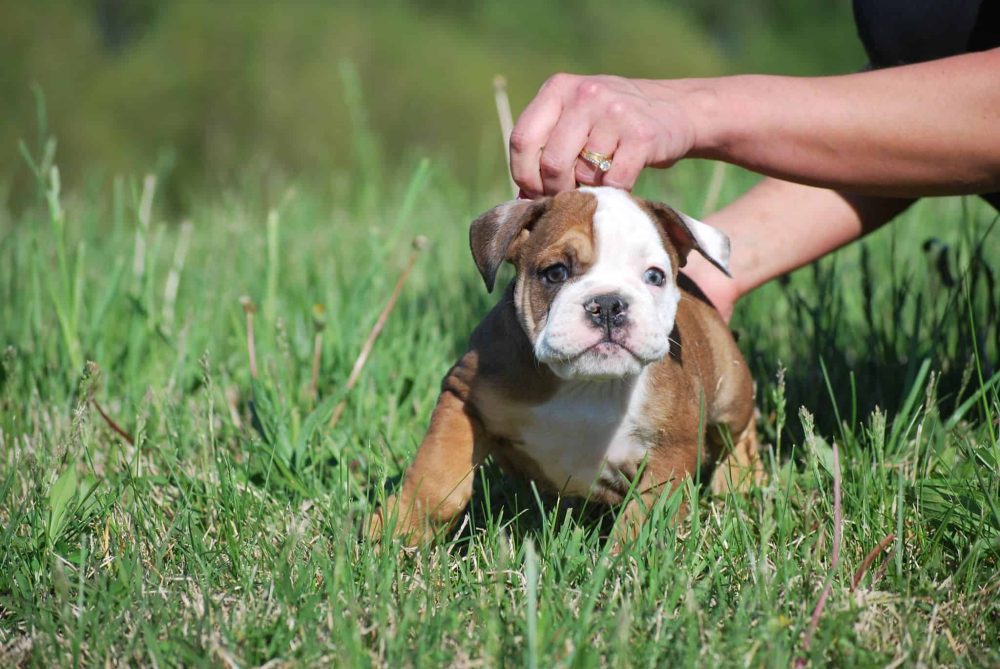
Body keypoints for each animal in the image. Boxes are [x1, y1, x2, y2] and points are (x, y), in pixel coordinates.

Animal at [374, 187, 756, 544]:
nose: (608, 304)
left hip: (730, 391)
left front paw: (621, 562)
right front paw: (397, 531)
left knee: (740, 429)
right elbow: (437, 476)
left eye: (654, 277)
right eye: (556, 272)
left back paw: (742, 482)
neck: (586, 383)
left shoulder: (672, 448)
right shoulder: (464, 395)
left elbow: (644, 516)